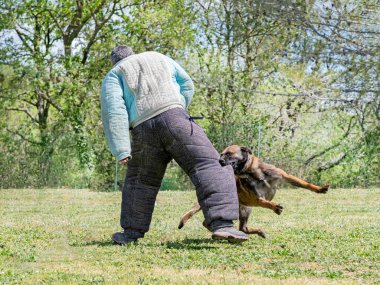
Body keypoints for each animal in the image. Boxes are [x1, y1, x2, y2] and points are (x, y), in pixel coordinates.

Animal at [178, 144, 330, 237]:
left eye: (229, 154)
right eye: (221, 154)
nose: (219, 161)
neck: (255, 173)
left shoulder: (285, 176)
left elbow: (305, 184)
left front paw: (319, 188)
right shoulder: (257, 198)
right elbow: (266, 203)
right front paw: (275, 207)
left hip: (245, 209)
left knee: (243, 228)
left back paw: (257, 232)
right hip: (243, 208)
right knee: (209, 222)